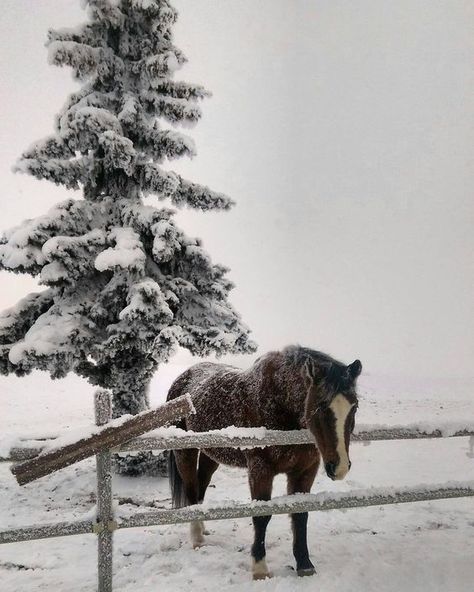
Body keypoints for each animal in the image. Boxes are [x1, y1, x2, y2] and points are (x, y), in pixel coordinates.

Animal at [168, 344, 362, 580]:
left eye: (354, 407)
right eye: (321, 407)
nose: (340, 467)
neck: (279, 403)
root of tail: (182, 378)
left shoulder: (306, 470)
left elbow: (301, 515)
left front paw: (304, 564)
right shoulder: (260, 470)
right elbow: (262, 516)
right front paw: (260, 568)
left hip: (210, 455)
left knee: (201, 486)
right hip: (185, 452)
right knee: (191, 489)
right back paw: (197, 538)